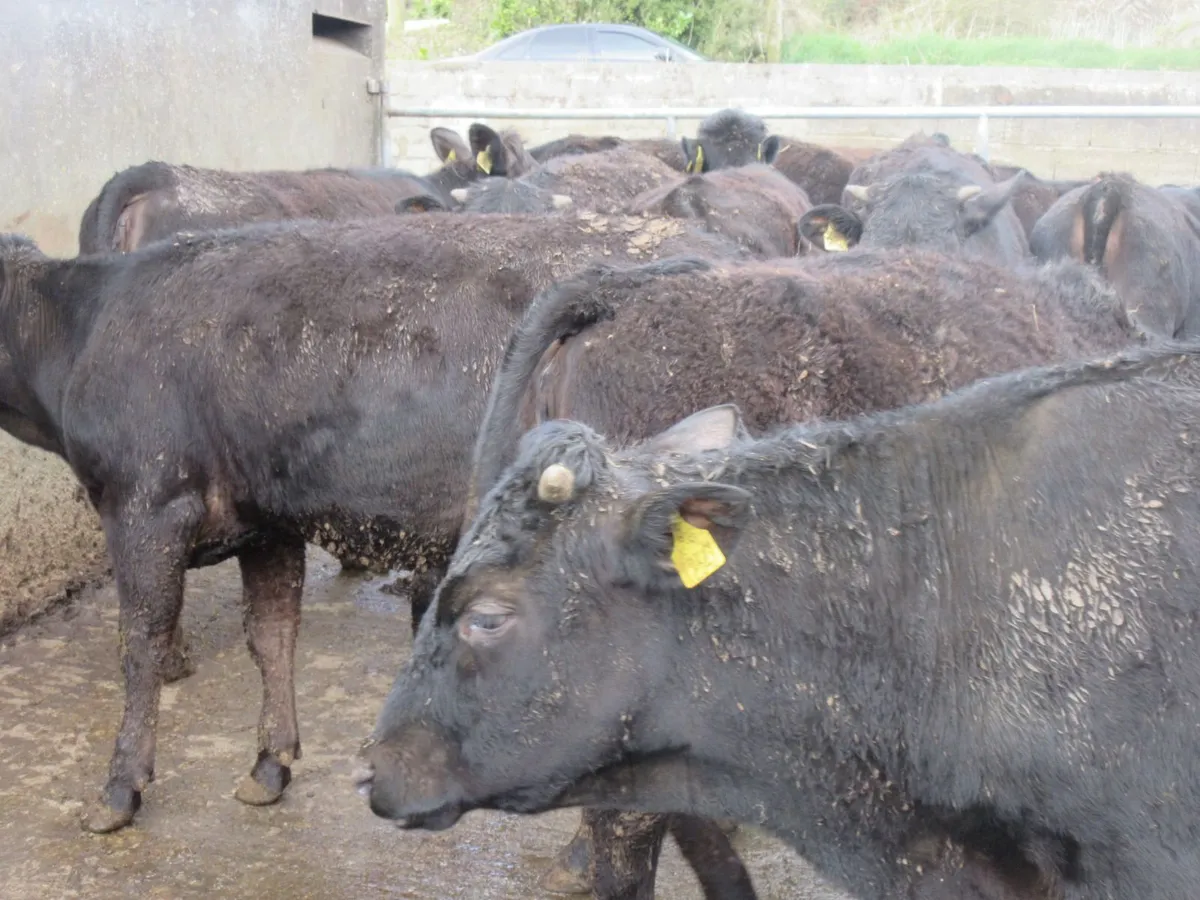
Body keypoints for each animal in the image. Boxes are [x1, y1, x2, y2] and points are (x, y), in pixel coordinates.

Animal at [0, 211, 747, 840]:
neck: (81, 328)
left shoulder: (147, 503)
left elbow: (141, 647)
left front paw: (119, 790)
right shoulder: (266, 519)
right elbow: (272, 636)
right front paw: (269, 765)